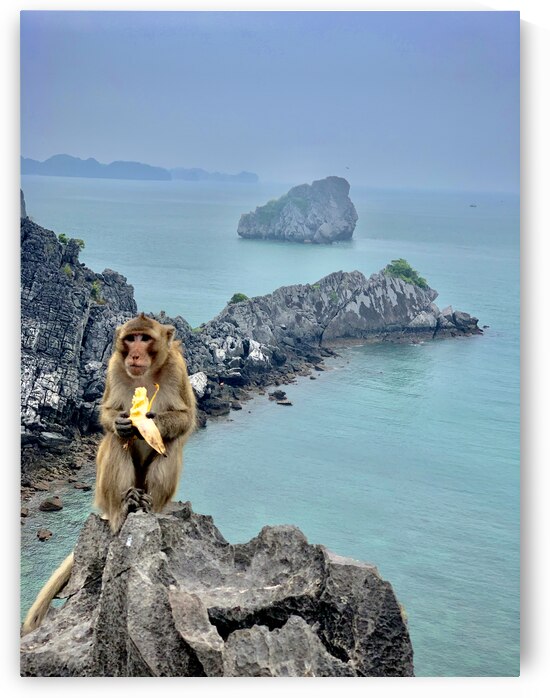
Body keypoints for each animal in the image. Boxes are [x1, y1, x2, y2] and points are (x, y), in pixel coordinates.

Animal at [21, 314, 196, 636]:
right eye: (131, 339)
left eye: (145, 338)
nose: (135, 354)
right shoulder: (114, 367)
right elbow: (107, 414)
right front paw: (122, 423)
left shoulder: (178, 369)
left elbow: (185, 417)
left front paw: (153, 423)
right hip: (105, 494)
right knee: (115, 443)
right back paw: (122, 509)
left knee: (170, 445)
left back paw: (149, 506)